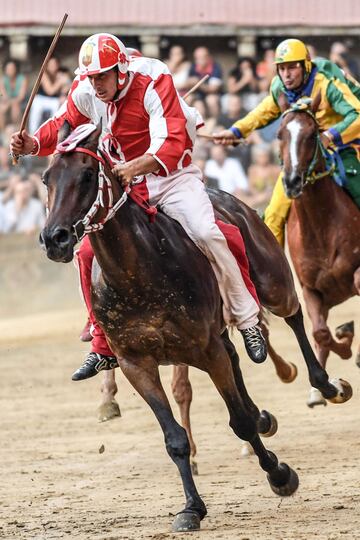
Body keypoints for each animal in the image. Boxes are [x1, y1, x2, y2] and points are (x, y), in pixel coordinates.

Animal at [40, 124, 352, 532]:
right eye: (46, 178)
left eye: (88, 175)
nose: (54, 238)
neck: (138, 272)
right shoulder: (136, 362)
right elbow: (175, 438)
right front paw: (191, 508)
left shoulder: (205, 349)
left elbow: (239, 423)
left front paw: (280, 474)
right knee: (238, 356)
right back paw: (264, 412)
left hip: (273, 282)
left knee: (295, 315)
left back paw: (326, 385)